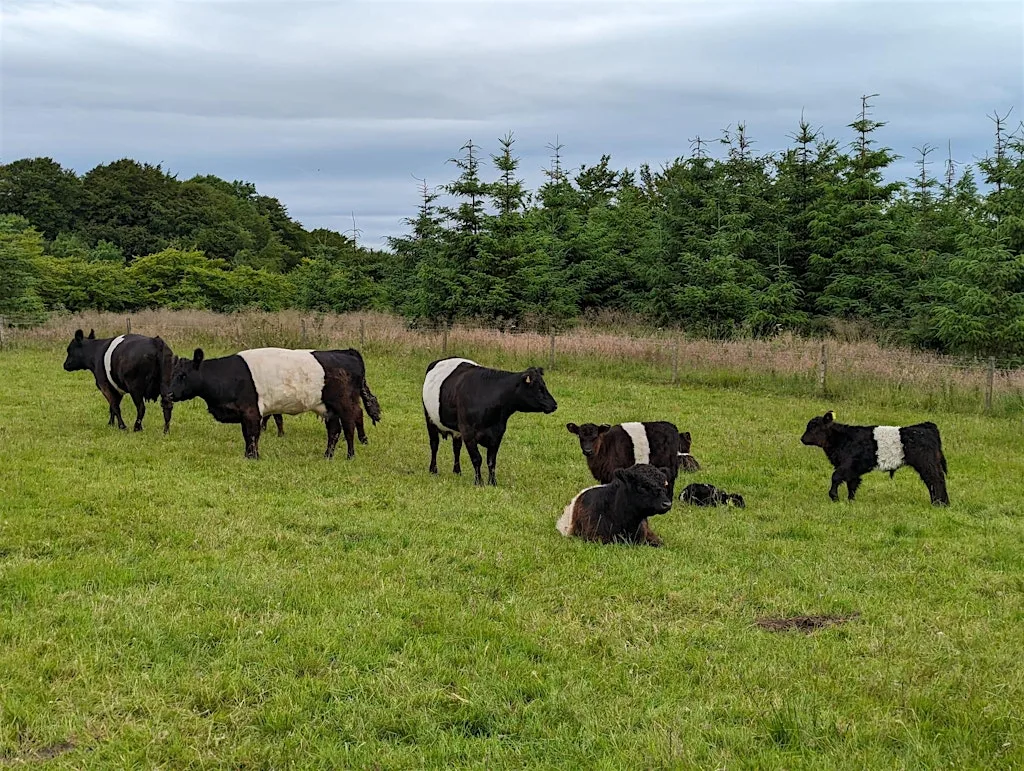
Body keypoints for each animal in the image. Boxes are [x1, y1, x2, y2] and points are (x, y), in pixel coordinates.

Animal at [170, 347, 378, 460]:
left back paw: (350, 455)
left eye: (183, 375)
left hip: (345, 404)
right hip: (328, 408)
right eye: (174, 373)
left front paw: (253, 457)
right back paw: (327, 456)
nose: (169, 394)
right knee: (334, 431)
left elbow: (252, 435)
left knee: (349, 426)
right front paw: (248, 456)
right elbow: (247, 435)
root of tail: (347, 353)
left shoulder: (251, 411)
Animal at [422, 357, 558, 486]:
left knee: (456, 447)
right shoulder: (468, 432)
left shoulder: (497, 433)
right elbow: (477, 458)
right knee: (434, 444)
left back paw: (457, 471)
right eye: (539, 389)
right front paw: (479, 482)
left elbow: (491, 461)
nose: (554, 405)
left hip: (456, 431)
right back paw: (433, 470)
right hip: (429, 419)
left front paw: (492, 482)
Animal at [800, 410, 950, 505]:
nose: (802, 439)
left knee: (935, 479)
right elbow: (852, 484)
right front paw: (850, 501)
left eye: (814, 427)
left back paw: (940, 503)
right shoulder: (852, 469)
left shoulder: (847, 464)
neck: (843, 439)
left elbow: (836, 477)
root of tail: (927, 426)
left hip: (926, 463)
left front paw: (834, 497)